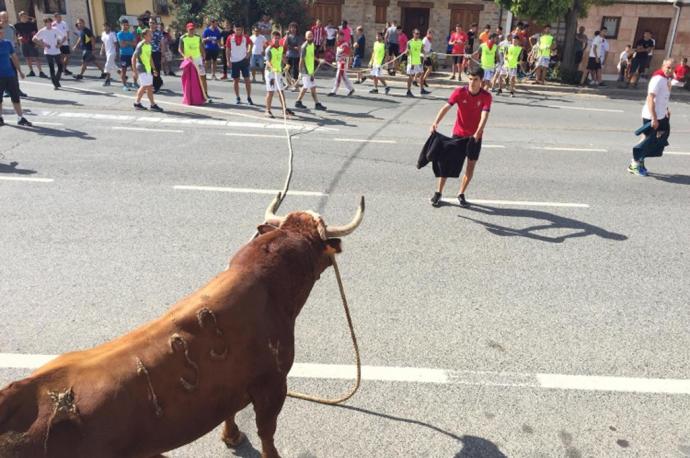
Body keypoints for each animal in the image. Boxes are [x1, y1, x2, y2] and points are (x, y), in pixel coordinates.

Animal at [0, 194, 362, 458]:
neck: (268, 284)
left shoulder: (230, 385)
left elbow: (231, 410)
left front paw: (231, 436)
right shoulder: (273, 384)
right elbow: (267, 432)